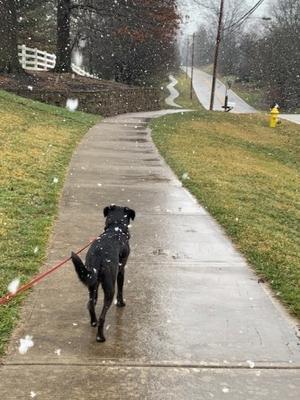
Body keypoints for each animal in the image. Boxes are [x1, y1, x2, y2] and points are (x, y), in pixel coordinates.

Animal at [70, 206, 135, 340]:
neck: (115, 229)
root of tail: (98, 257)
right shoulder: (121, 269)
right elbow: (121, 289)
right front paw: (121, 303)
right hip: (109, 287)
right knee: (102, 316)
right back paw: (100, 337)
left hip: (92, 283)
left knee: (91, 304)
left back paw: (93, 322)